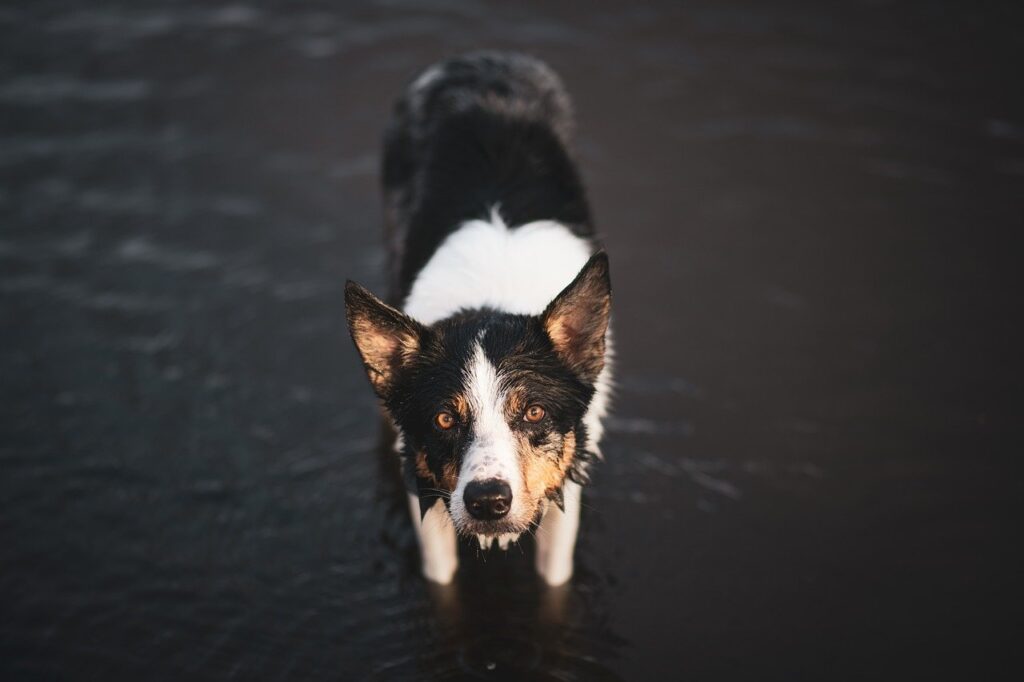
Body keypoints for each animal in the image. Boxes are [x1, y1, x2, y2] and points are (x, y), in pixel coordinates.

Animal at [348, 53, 610, 585]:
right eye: (444, 418)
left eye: (534, 413)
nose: (487, 502)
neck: (491, 301)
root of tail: (478, 58)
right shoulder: (427, 492)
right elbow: (441, 577)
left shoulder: (567, 482)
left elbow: (554, 577)